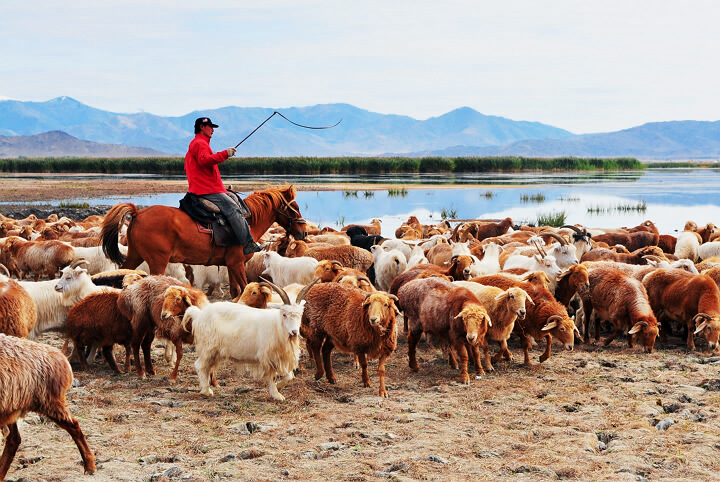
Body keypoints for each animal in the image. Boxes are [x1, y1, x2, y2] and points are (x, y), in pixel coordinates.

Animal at [0, 336, 95, 478]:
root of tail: (60, 357)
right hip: (12, 406)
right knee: (13, 439)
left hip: (50, 402)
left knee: (74, 426)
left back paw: (90, 466)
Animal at [100, 185, 306, 298]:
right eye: (295, 207)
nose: (303, 232)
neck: (247, 220)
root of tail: (138, 213)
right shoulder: (237, 263)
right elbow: (245, 286)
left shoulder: (231, 265)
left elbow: (236, 291)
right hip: (157, 261)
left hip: (135, 256)